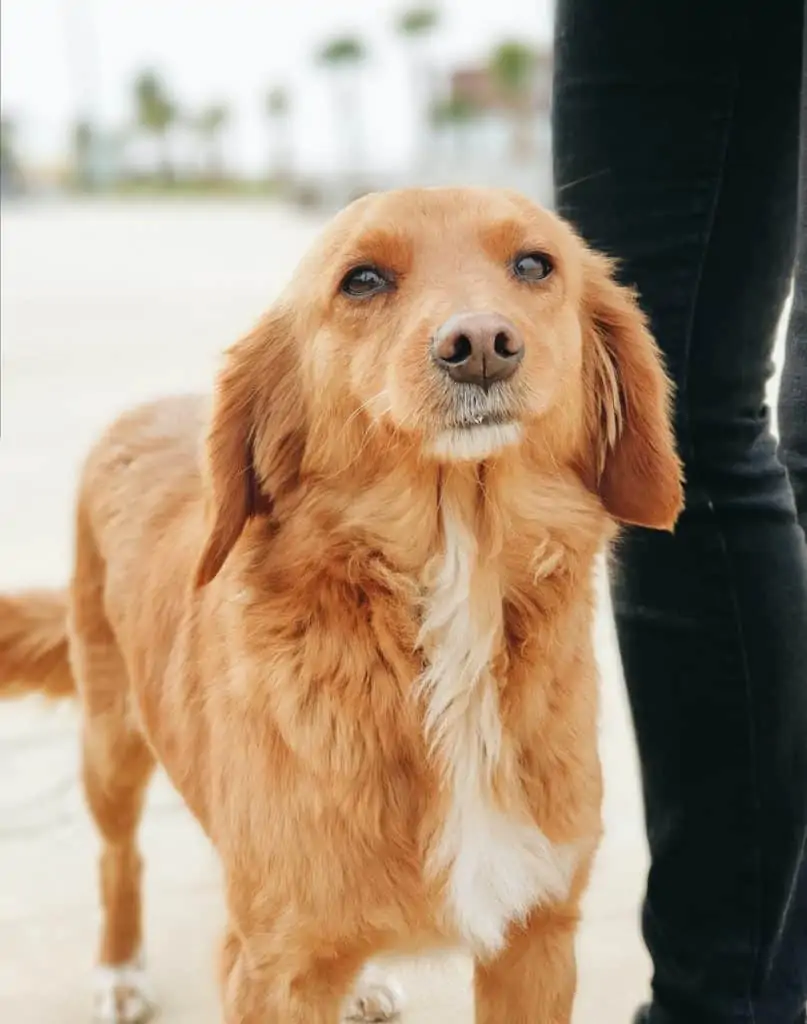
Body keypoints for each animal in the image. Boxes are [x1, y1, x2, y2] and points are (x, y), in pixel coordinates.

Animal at [0, 186, 680, 1024]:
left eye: (533, 264)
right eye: (362, 280)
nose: (481, 345)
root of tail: (143, 408)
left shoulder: (535, 940)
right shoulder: (273, 970)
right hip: (111, 745)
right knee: (118, 856)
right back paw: (121, 968)